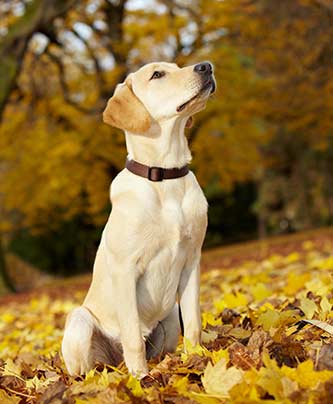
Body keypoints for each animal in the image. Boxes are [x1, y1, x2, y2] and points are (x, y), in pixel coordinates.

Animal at [61, 60, 214, 378]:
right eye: (157, 75)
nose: (206, 66)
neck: (165, 175)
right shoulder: (125, 270)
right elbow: (132, 336)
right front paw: (141, 379)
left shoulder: (192, 261)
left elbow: (194, 323)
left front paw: (196, 361)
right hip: (81, 321)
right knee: (91, 368)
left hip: (170, 317)